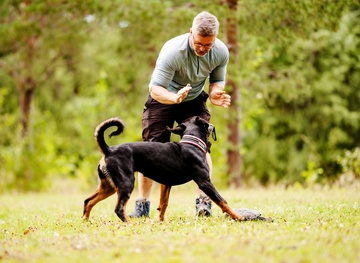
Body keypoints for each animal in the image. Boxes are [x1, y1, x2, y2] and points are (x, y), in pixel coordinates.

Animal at [83, 117, 246, 223]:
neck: (191, 144)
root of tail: (108, 150)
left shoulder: (166, 184)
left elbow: (163, 204)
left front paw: (160, 221)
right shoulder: (205, 182)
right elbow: (223, 201)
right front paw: (238, 217)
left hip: (108, 186)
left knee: (88, 201)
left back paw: (85, 221)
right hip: (126, 183)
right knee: (118, 209)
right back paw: (129, 223)